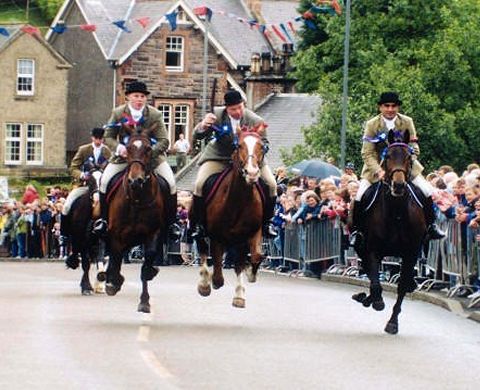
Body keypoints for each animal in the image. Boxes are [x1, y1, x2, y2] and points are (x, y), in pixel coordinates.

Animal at [62, 165, 107, 296]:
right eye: (90, 181)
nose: (98, 200)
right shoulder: (82, 241)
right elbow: (86, 264)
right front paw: (86, 287)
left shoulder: (102, 240)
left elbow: (101, 259)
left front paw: (100, 283)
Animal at [103, 129, 167, 312]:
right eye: (128, 148)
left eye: (148, 149)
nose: (135, 181)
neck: (137, 198)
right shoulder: (116, 234)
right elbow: (115, 256)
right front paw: (113, 282)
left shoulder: (152, 233)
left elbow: (146, 263)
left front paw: (144, 301)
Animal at [197, 126, 268, 306]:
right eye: (239, 145)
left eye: (261, 146)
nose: (252, 173)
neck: (239, 201)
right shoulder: (216, 236)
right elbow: (217, 271)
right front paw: (211, 282)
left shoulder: (249, 234)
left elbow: (253, 257)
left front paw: (240, 293)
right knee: (202, 248)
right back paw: (204, 284)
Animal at [350, 129, 426, 334]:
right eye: (389, 156)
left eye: (408, 156)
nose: (398, 185)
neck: (397, 213)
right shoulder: (373, 250)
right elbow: (375, 282)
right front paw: (375, 301)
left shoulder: (410, 254)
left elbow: (401, 287)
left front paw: (393, 323)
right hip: (360, 245)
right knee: (369, 272)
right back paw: (366, 298)